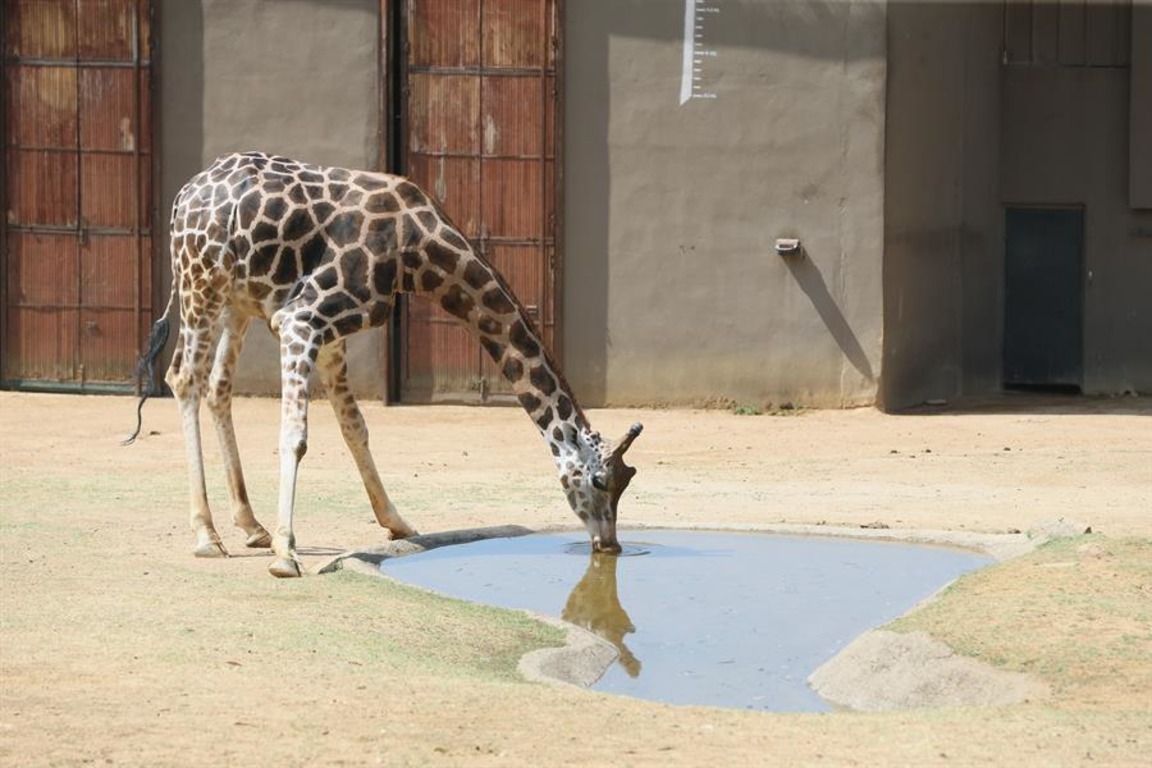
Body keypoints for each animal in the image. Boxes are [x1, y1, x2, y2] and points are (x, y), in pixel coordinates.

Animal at [130, 153, 645, 580]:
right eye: (600, 480)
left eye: (624, 484)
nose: (610, 545)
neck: (413, 251)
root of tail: (182, 198)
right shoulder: (300, 319)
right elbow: (295, 436)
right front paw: (285, 554)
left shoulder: (329, 332)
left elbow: (355, 427)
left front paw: (397, 523)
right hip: (200, 284)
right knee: (183, 378)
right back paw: (207, 535)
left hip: (236, 300)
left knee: (217, 386)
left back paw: (250, 525)